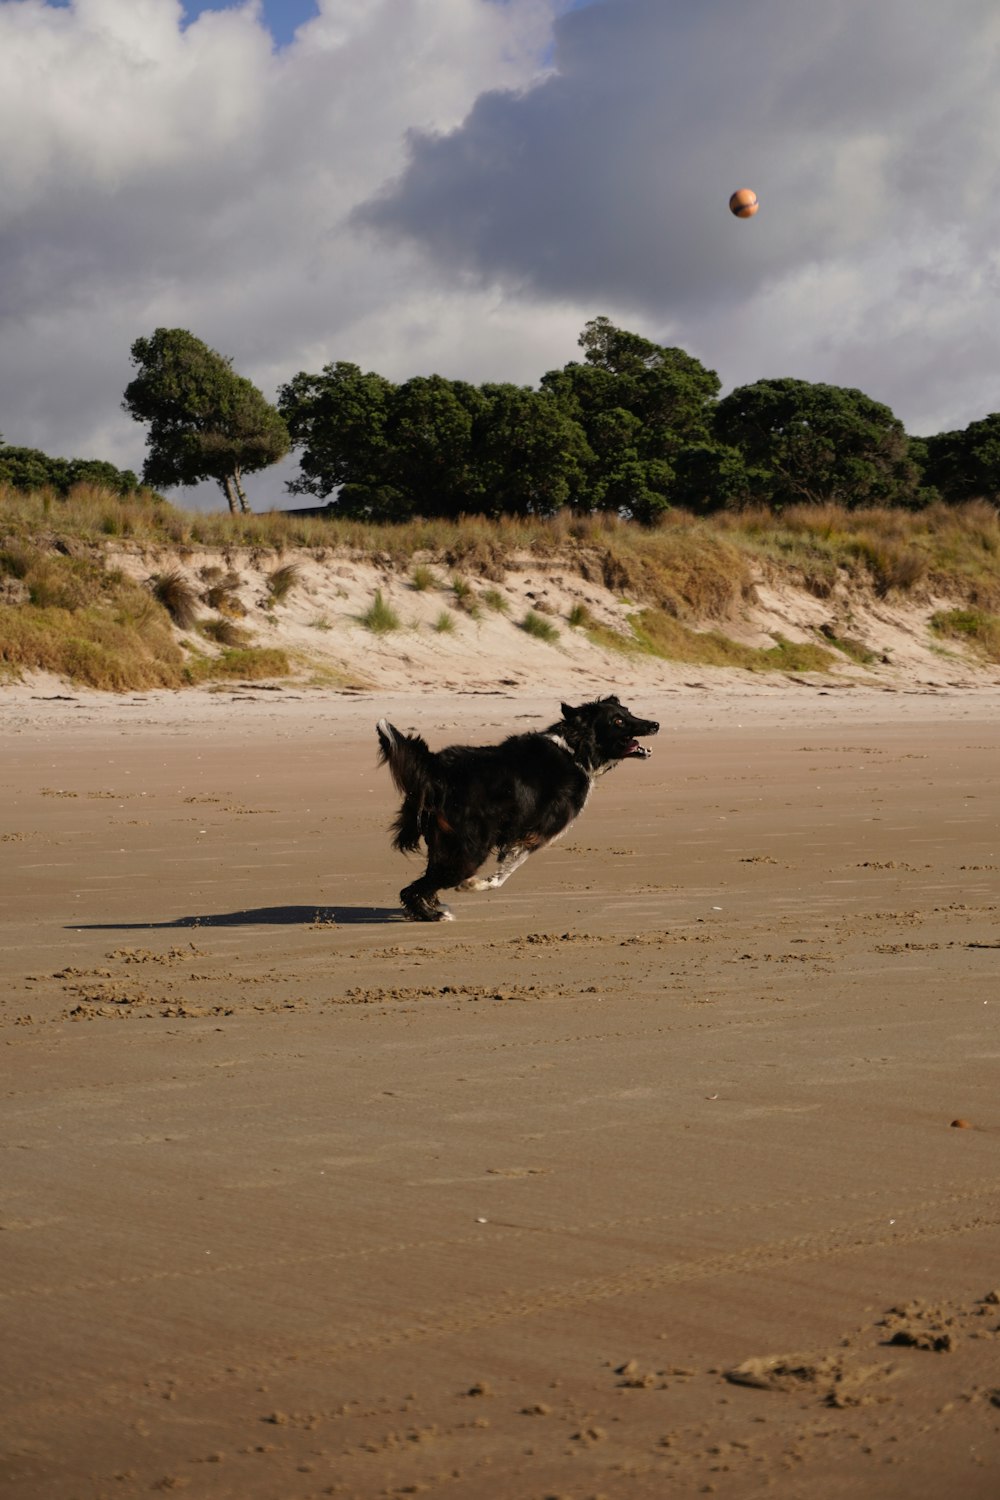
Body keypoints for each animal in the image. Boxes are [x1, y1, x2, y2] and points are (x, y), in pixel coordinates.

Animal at [374, 696, 656, 918]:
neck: (574, 750)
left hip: (445, 840)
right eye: (617, 721)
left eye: (629, 712)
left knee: (427, 880)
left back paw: (431, 908)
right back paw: (433, 913)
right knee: (418, 886)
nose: (655, 724)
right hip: (471, 847)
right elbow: (506, 870)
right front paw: (477, 885)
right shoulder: (536, 832)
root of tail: (437, 769)